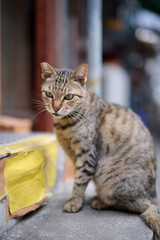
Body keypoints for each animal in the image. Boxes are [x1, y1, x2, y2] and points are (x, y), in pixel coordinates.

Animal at [40, 62, 160, 236]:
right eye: (49, 94)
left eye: (68, 96)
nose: (55, 108)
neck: (64, 126)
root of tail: (153, 195)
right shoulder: (74, 157)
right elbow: (77, 178)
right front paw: (78, 199)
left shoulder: (87, 155)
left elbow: (79, 181)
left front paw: (74, 202)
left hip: (109, 174)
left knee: (143, 206)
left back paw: (100, 201)